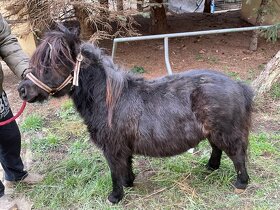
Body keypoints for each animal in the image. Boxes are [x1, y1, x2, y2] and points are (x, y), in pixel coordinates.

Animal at [18, 24, 254, 203]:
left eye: (50, 63)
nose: (22, 90)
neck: (109, 99)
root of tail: (238, 85)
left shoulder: (112, 148)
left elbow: (114, 171)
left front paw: (115, 196)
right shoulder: (123, 147)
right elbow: (126, 166)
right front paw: (129, 183)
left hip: (227, 133)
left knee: (237, 155)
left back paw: (241, 183)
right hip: (214, 132)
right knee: (217, 148)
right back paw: (210, 168)